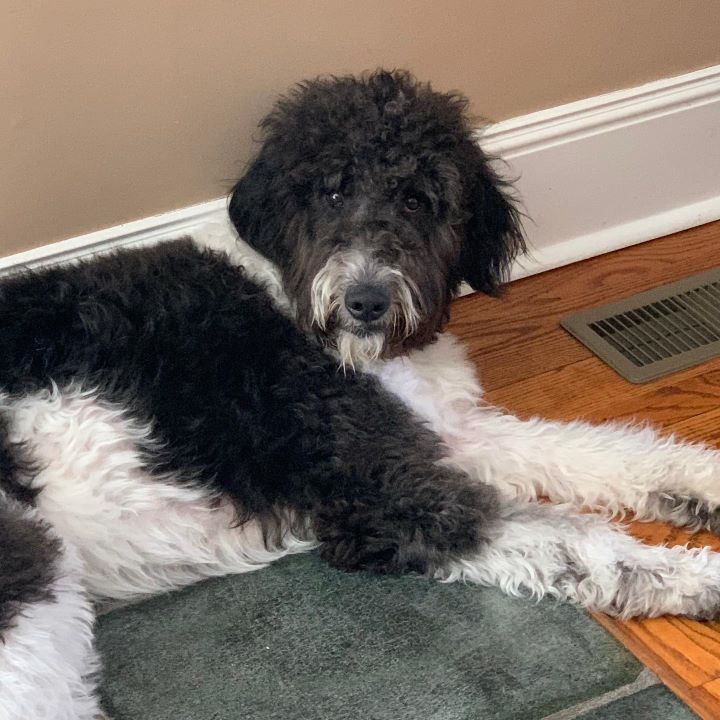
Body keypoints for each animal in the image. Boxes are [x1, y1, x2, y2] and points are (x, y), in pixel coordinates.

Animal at [1, 69, 720, 720]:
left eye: (418, 199)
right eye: (331, 189)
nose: (367, 300)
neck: (294, 297)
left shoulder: (436, 432)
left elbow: (593, 449)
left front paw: (702, 481)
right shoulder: (385, 489)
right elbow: (581, 545)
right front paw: (703, 578)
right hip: (30, 574)